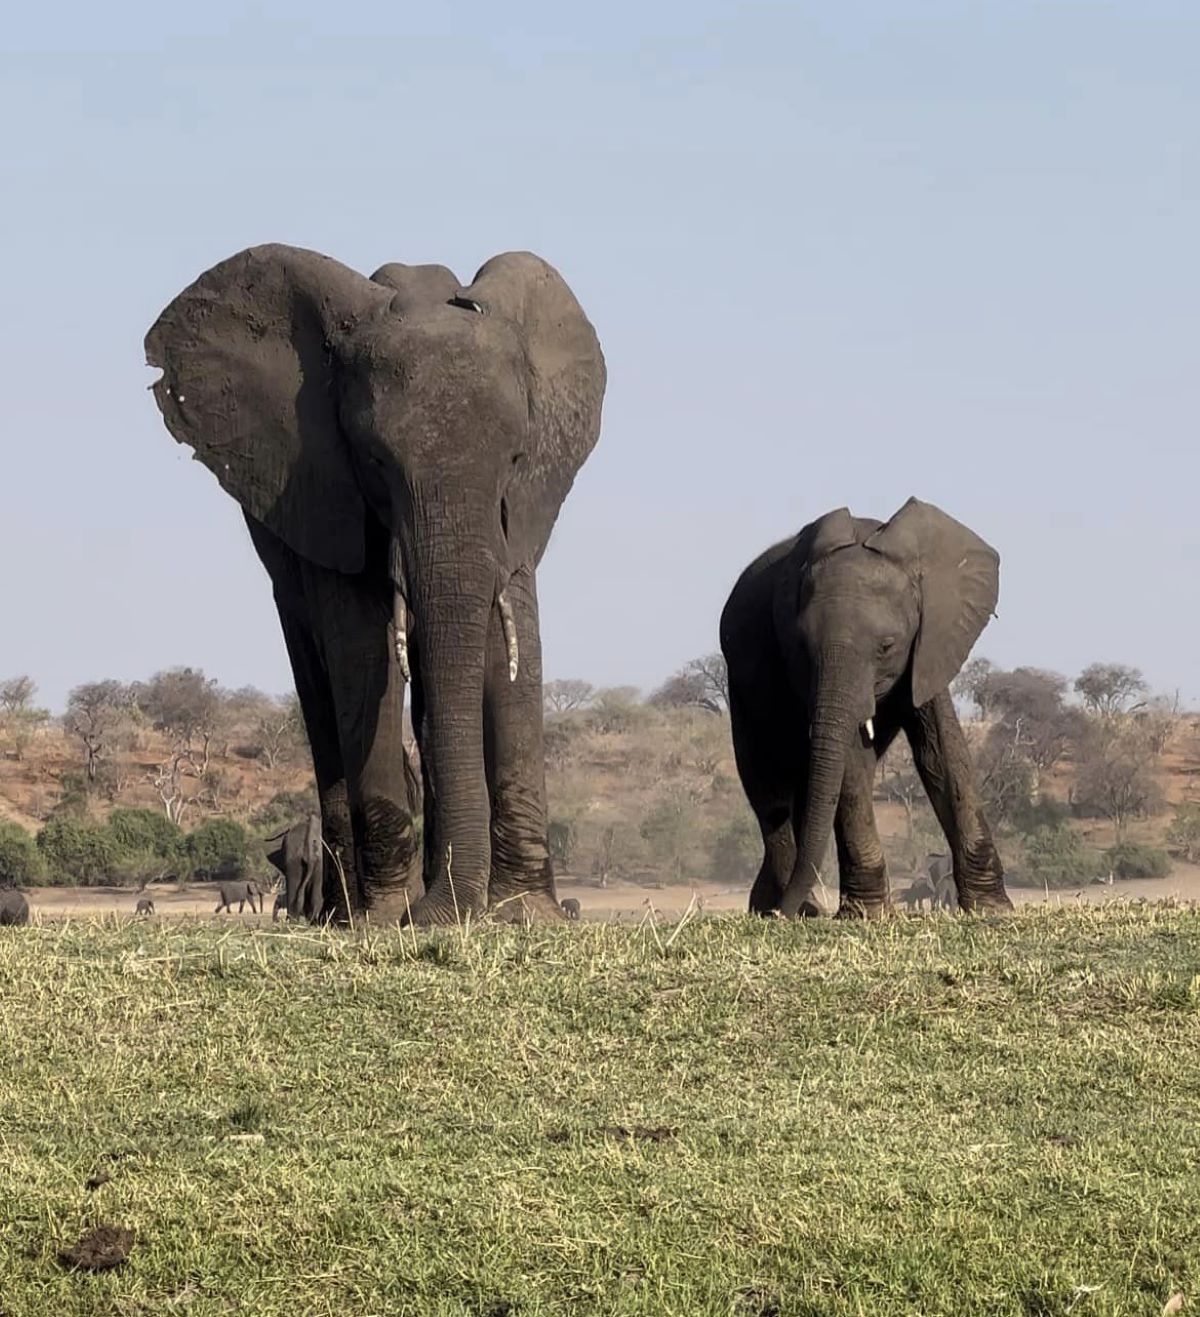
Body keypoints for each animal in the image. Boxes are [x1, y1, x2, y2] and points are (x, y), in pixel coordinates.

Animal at [145, 247, 605, 927]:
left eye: (517, 459)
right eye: (376, 460)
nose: (443, 911)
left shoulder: (521, 512)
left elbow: (511, 644)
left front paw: (526, 915)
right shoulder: (323, 486)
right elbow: (363, 650)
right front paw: (388, 920)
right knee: (319, 686)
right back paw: (347, 914)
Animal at [721, 497, 1011, 921]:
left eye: (887, 646)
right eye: (801, 646)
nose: (781, 916)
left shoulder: (931, 643)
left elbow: (942, 752)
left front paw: (992, 909)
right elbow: (851, 764)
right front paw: (868, 915)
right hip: (741, 688)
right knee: (769, 789)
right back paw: (788, 906)